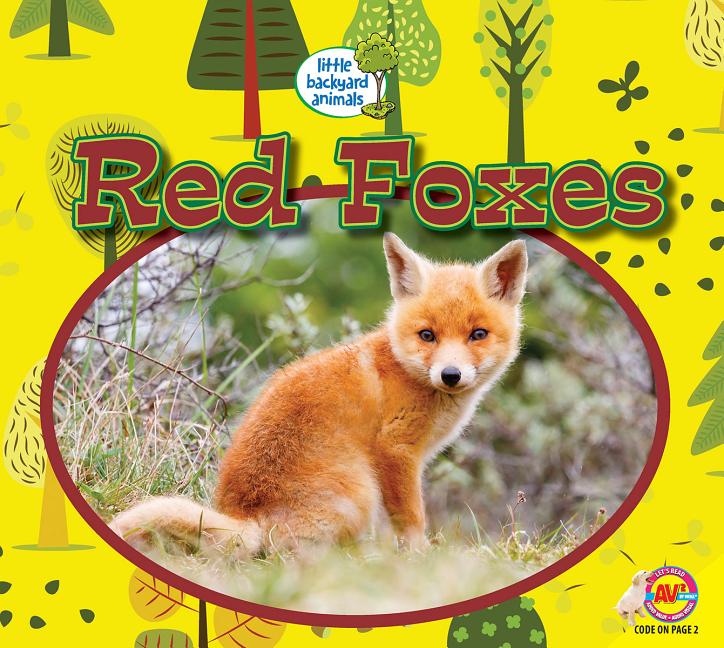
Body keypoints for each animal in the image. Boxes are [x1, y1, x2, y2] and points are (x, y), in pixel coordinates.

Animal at [110, 233, 528, 557]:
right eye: (427, 335)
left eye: (478, 334)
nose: (451, 375)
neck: (402, 368)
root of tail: (247, 515)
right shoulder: (395, 452)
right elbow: (411, 520)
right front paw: (419, 560)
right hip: (360, 492)